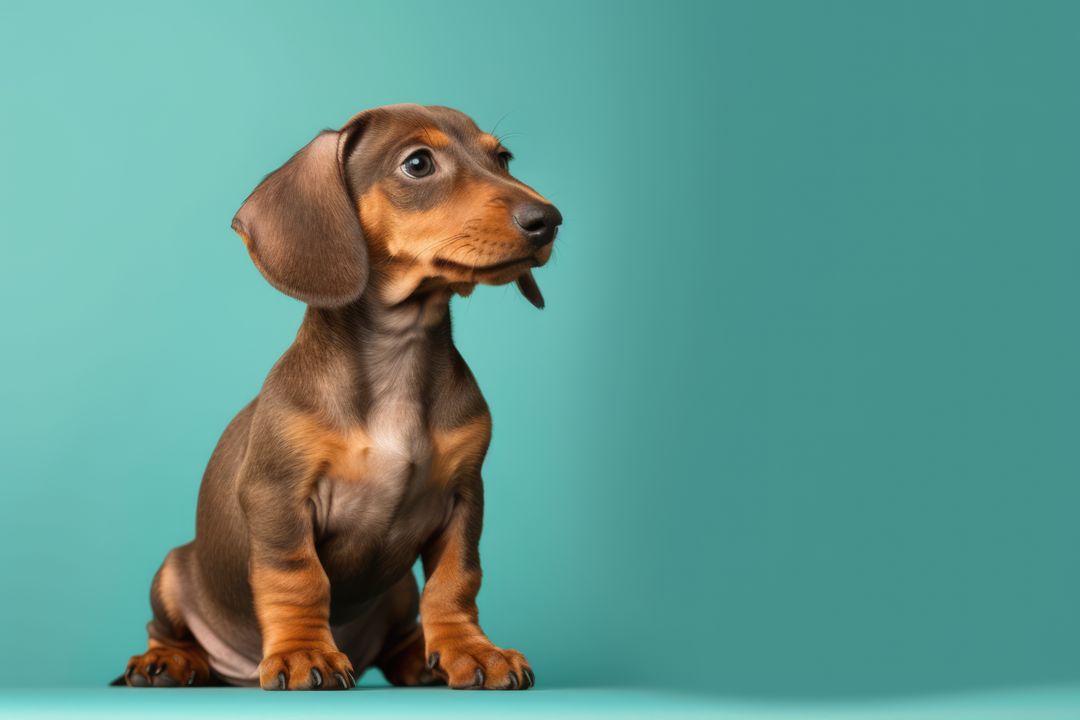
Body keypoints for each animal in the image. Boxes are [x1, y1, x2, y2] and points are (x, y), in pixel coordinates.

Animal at [118, 104, 561, 690]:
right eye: (418, 164)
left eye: (503, 158)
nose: (549, 219)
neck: (400, 350)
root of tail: (235, 671)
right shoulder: (278, 496)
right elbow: (298, 578)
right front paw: (304, 652)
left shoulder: (466, 495)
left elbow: (456, 580)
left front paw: (470, 650)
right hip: (173, 570)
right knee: (165, 630)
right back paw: (168, 661)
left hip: (398, 592)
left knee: (399, 637)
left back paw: (420, 660)